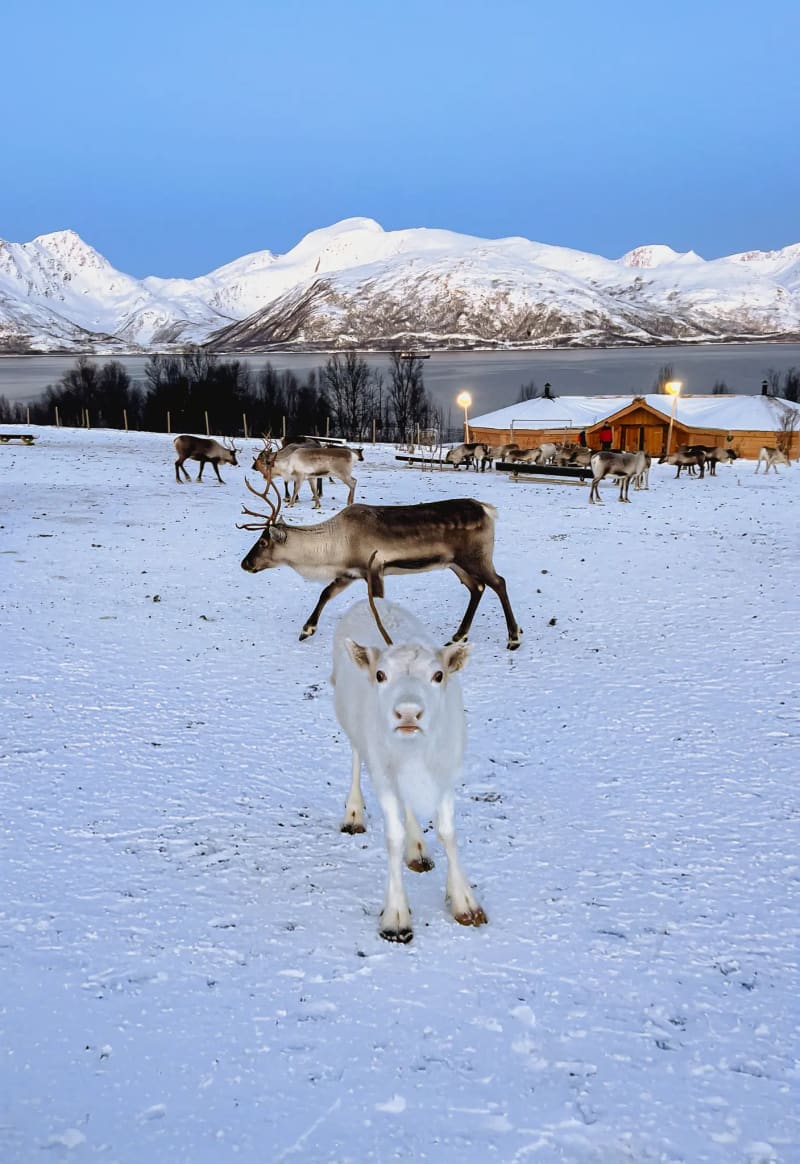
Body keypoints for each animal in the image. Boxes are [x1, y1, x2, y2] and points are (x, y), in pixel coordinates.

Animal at [239, 472, 523, 649]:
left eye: (263, 542)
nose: (245, 564)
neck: (334, 545)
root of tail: (487, 509)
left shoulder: (374, 568)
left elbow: (378, 606)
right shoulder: (350, 573)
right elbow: (325, 593)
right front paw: (306, 630)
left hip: (476, 558)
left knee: (499, 582)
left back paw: (513, 638)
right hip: (455, 563)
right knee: (478, 588)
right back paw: (458, 636)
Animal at [331, 589, 486, 943]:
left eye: (438, 675)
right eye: (380, 675)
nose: (408, 713)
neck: (414, 751)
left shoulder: (445, 773)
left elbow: (447, 832)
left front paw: (464, 902)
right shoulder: (384, 775)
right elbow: (393, 838)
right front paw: (396, 917)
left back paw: (418, 849)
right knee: (356, 757)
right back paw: (354, 814)